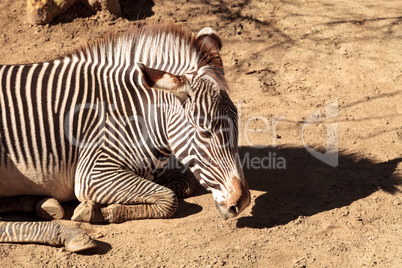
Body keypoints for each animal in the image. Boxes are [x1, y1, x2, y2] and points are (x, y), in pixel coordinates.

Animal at [0, 23, 250, 251]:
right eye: (204, 132)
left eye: (237, 124)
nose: (243, 202)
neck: (132, 114)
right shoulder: (94, 171)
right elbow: (168, 199)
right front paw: (97, 211)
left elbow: (185, 182)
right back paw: (69, 233)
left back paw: (44, 204)